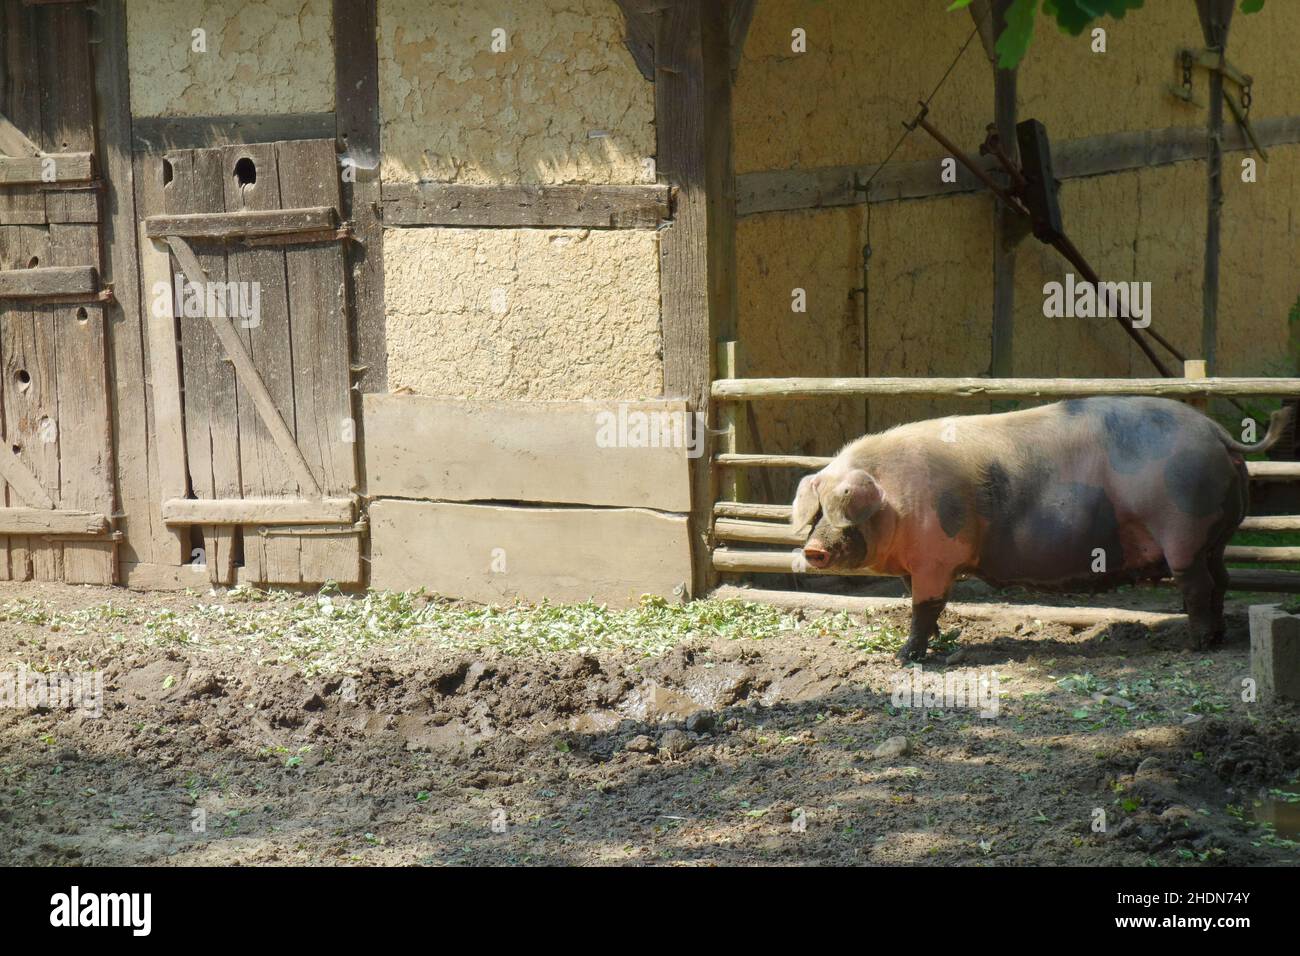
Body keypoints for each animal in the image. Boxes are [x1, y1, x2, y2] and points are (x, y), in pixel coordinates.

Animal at [790, 397, 1293, 662]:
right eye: (816, 514)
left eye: (844, 508)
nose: (813, 550)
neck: (897, 499)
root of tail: (1217, 435)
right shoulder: (916, 565)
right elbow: (922, 605)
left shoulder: (937, 556)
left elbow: (926, 606)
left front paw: (905, 657)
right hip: (1216, 535)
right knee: (1222, 579)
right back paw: (1217, 638)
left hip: (1182, 528)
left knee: (1197, 584)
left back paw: (1197, 646)